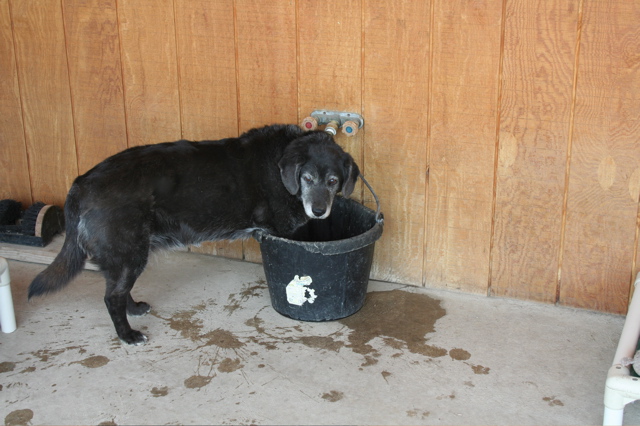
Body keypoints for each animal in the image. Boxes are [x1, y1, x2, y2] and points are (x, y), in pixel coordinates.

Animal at [28, 124, 359, 345]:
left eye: (333, 181)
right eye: (308, 178)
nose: (319, 211)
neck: (282, 165)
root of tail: (81, 182)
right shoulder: (285, 233)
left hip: (128, 255)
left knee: (118, 291)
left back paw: (134, 309)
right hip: (129, 253)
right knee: (112, 297)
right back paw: (127, 335)